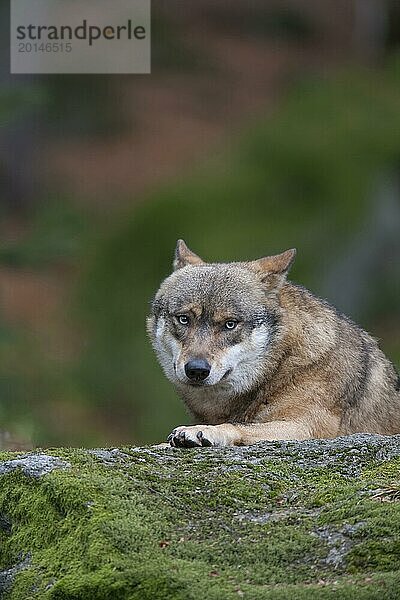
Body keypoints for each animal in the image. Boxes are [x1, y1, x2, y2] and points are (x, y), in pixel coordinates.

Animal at [147, 239, 400, 446]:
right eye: (184, 319)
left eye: (230, 324)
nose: (196, 370)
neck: (283, 364)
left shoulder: (304, 427)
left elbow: (238, 426)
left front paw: (203, 431)